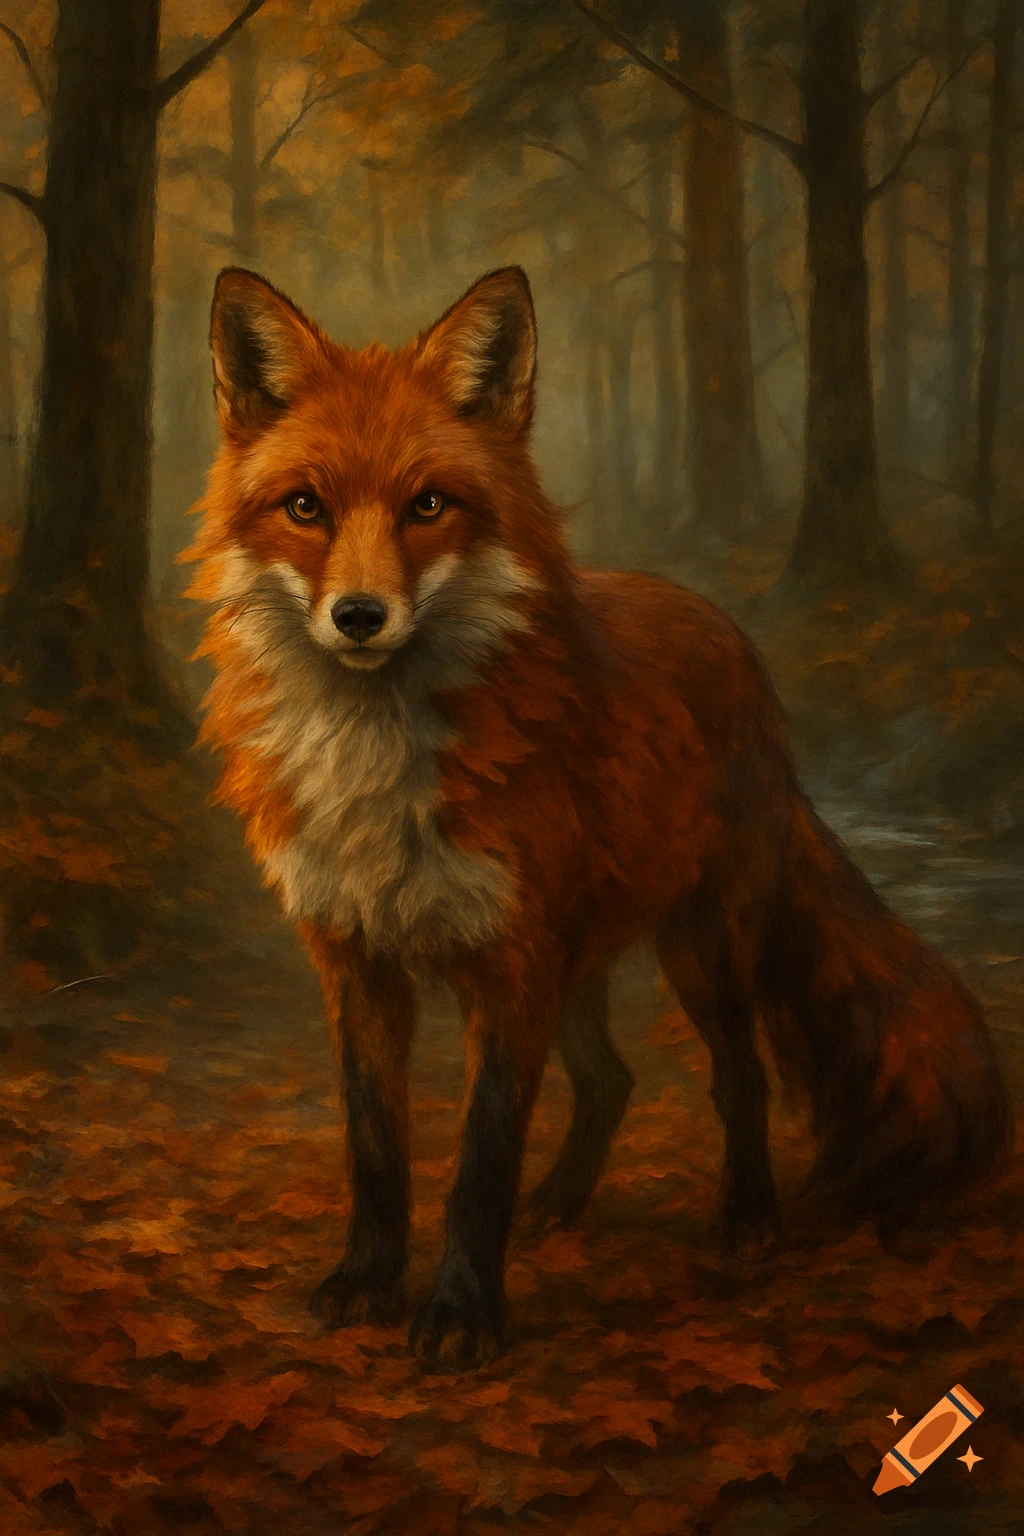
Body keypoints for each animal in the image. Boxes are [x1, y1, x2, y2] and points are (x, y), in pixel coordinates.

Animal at [188, 264, 1010, 1371]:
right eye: (305, 508)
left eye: (428, 506)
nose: (358, 617)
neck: (378, 764)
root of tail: (728, 636)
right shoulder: (358, 959)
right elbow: (377, 1148)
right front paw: (368, 1281)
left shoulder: (509, 965)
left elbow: (479, 1164)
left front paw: (462, 1313)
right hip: (578, 963)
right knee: (612, 1080)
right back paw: (562, 1204)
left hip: (701, 950)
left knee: (739, 1078)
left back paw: (747, 1220)